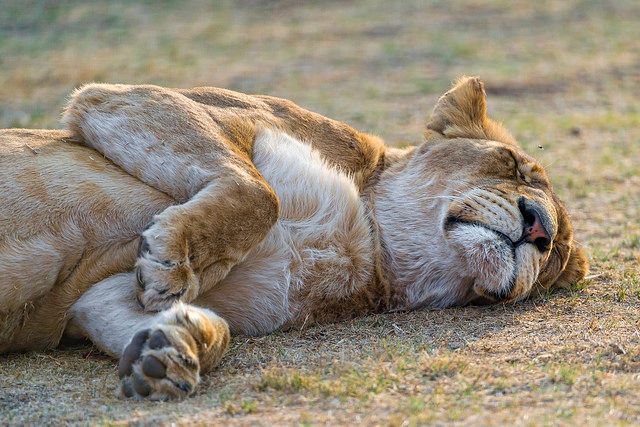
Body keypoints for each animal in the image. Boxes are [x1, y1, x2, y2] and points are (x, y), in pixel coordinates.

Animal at [0, 77, 584, 402]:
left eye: (554, 255)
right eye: (511, 165)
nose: (539, 227)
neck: (371, 248)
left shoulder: (90, 298)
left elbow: (190, 324)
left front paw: (168, 348)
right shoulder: (124, 98)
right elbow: (259, 194)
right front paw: (172, 261)